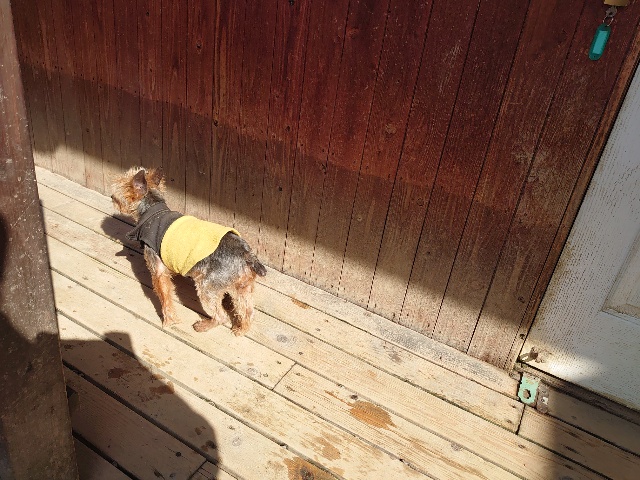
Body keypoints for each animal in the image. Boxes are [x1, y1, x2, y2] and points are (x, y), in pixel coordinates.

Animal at [111, 166, 266, 335]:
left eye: (118, 187)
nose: (111, 196)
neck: (151, 211)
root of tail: (247, 255)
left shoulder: (158, 269)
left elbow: (165, 295)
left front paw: (169, 321)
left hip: (207, 286)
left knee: (221, 316)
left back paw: (202, 326)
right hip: (242, 287)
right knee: (248, 310)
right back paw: (240, 329)